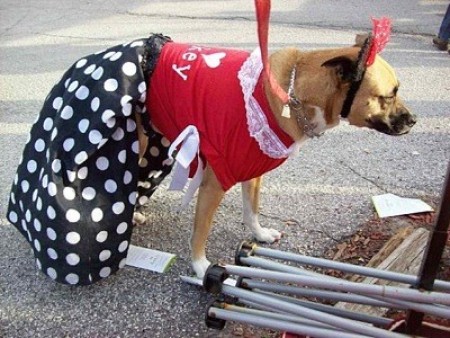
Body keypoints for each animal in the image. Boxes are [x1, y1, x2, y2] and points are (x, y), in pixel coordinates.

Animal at [135, 34, 416, 278]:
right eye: (388, 95)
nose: (414, 120)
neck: (293, 96)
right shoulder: (214, 183)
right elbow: (201, 230)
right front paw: (200, 265)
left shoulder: (252, 171)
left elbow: (252, 210)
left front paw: (259, 235)